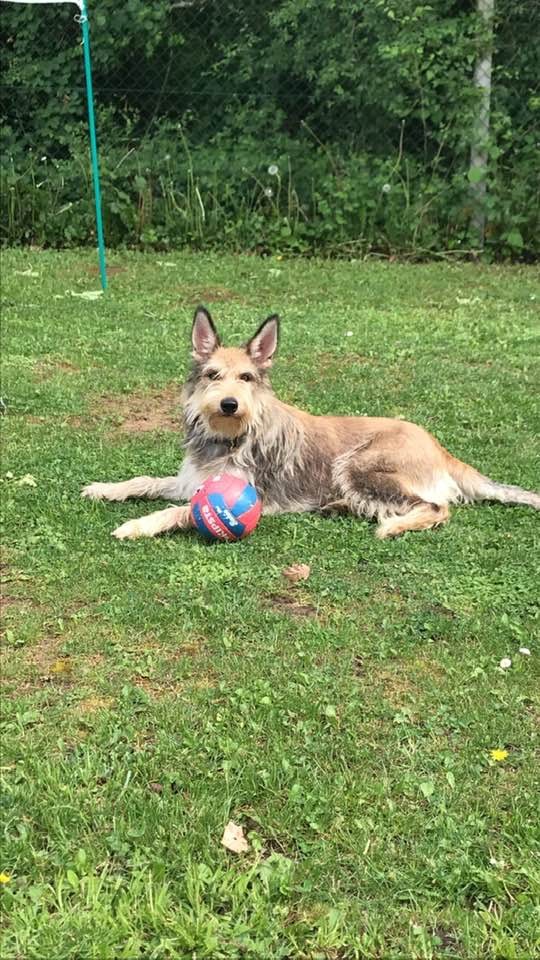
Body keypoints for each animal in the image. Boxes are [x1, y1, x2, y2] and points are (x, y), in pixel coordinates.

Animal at [81, 306, 540, 540]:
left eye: (247, 378)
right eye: (212, 374)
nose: (229, 405)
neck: (231, 437)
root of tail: (443, 451)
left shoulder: (245, 495)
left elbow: (179, 511)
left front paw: (139, 524)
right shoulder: (189, 480)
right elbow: (144, 481)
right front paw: (106, 488)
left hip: (358, 465)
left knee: (437, 508)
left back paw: (392, 526)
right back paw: (340, 507)